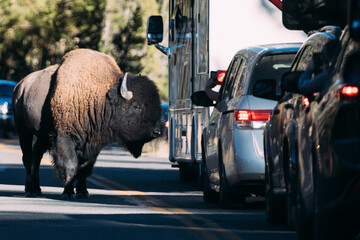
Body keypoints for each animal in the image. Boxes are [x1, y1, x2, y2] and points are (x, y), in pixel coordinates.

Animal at [13, 48, 163, 199]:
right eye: (137, 106)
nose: (157, 131)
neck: (100, 98)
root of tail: (20, 86)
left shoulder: (93, 145)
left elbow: (85, 168)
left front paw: (82, 192)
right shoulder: (64, 138)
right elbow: (71, 166)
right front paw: (68, 192)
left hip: (42, 135)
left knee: (37, 155)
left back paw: (37, 189)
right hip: (23, 130)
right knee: (28, 158)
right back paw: (29, 190)